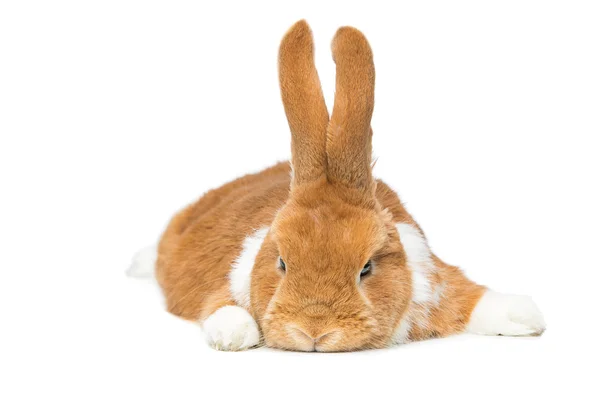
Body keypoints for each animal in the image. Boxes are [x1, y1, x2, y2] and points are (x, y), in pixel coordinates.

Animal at [129, 20, 548, 352]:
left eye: (366, 269)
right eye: (281, 263)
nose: (314, 333)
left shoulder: (438, 276)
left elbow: (473, 296)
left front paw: (526, 316)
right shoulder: (224, 285)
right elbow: (220, 306)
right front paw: (233, 335)